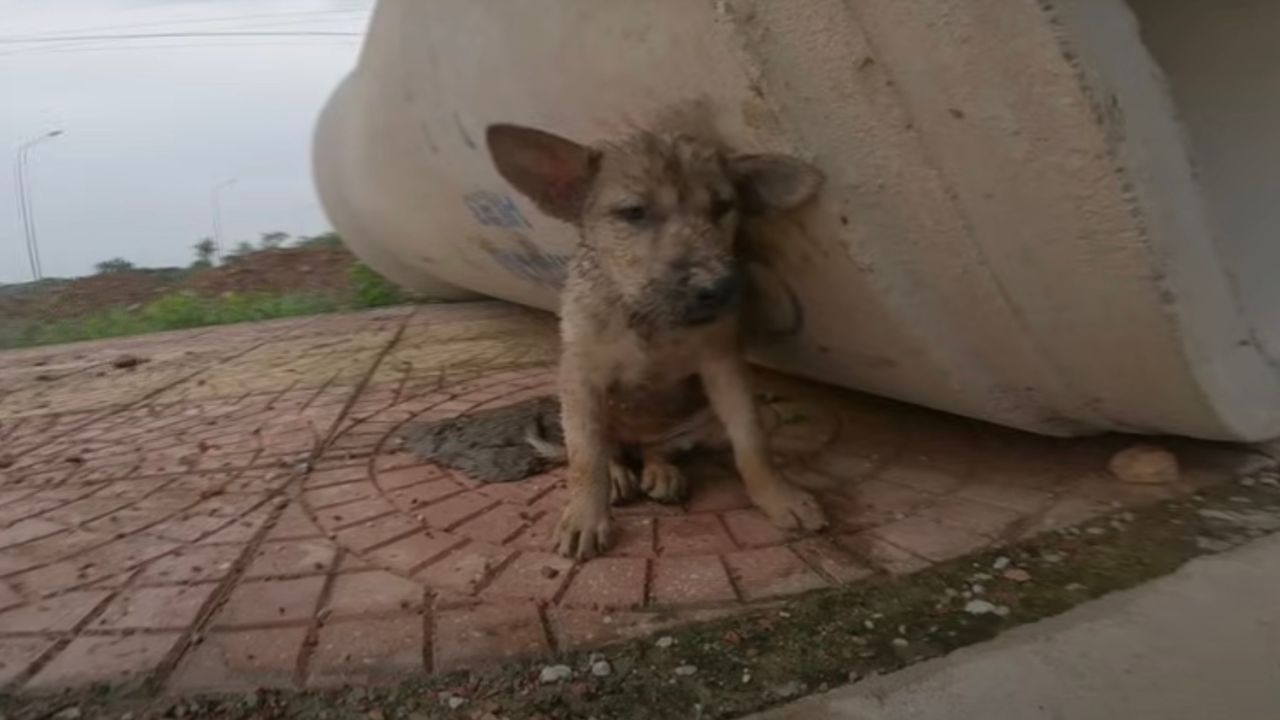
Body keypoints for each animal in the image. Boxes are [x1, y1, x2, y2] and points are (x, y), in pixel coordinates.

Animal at [483, 116, 824, 556]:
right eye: (633, 212)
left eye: (722, 207)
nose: (719, 288)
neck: (646, 316)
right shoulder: (580, 377)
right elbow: (585, 456)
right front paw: (585, 516)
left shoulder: (723, 365)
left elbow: (753, 443)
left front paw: (781, 498)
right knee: (609, 448)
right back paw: (617, 475)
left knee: (657, 449)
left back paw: (662, 472)